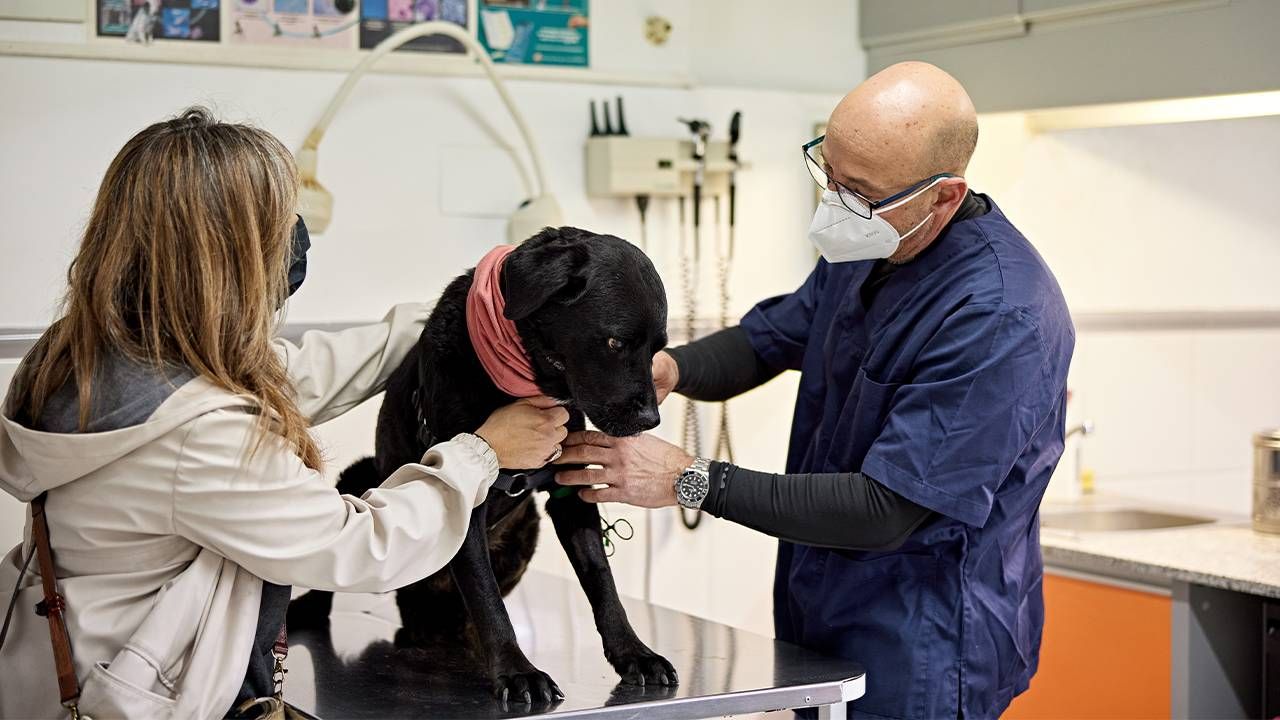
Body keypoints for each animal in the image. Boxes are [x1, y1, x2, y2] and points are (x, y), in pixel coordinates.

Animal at [285, 225, 675, 702]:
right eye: (615, 342)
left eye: (658, 349)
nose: (651, 420)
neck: (521, 380)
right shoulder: (462, 496)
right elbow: (487, 598)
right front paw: (518, 671)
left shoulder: (571, 491)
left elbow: (602, 580)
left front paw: (633, 653)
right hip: (359, 477)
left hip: (527, 524)